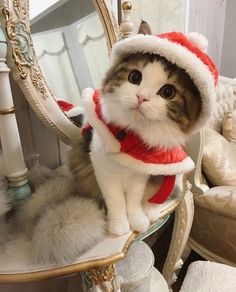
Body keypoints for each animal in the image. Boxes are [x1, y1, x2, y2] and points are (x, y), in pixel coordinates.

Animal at [68, 32, 218, 237]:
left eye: (168, 92)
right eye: (135, 77)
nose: (141, 97)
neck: (133, 135)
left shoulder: (141, 175)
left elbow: (133, 199)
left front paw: (137, 218)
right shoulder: (104, 170)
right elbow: (116, 200)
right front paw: (119, 224)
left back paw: (149, 211)